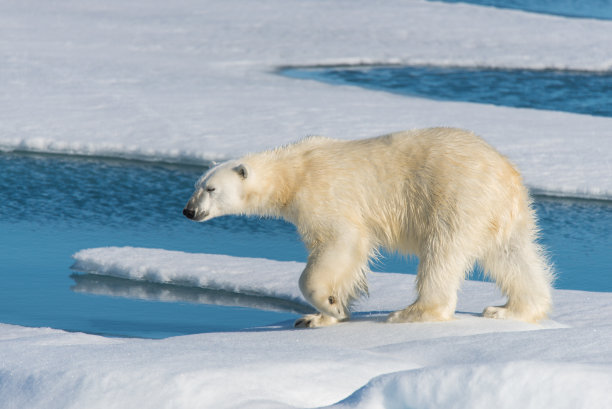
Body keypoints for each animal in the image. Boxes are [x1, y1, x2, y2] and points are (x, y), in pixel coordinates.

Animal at [183, 126, 556, 326]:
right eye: (196, 185)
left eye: (210, 189)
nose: (188, 210)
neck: (292, 171)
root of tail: (506, 174)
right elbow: (348, 262)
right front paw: (319, 317)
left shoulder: (323, 195)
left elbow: (340, 242)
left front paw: (329, 304)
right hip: (502, 213)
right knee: (511, 255)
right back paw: (512, 309)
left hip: (456, 196)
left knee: (442, 253)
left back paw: (412, 312)